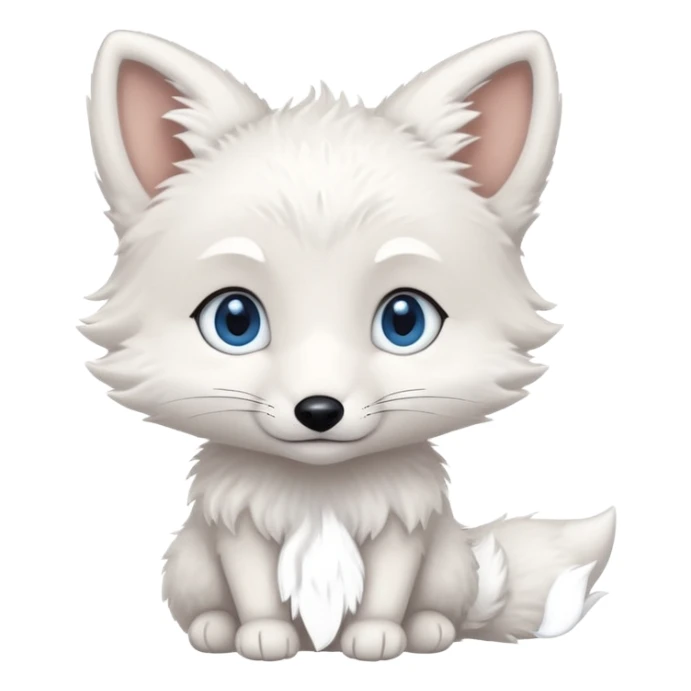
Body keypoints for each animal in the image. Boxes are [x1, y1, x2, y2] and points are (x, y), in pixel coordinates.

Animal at [84, 30, 613, 661]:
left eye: (404, 321)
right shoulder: (239, 525)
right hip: (188, 563)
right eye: (235, 320)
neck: (322, 490)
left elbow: (389, 584)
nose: (319, 410)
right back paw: (214, 627)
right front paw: (263, 635)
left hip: (449, 563)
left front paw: (377, 635)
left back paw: (429, 628)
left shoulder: (401, 526)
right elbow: (253, 584)